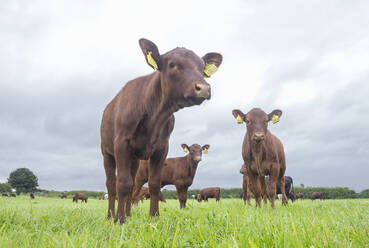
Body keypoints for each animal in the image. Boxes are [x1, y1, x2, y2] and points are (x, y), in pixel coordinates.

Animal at [99, 37, 221, 224]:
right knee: (112, 184)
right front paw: (119, 220)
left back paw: (129, 213)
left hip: (135, 159)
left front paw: (154, 216)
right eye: (172, 64)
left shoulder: (162, 148)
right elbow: (123, 183)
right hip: (107, 153)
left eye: (202, 68)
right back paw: (111, 214)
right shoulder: (122, 144)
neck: (155, 115)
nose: (204, 88)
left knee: (133, 185)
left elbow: (154, 184)